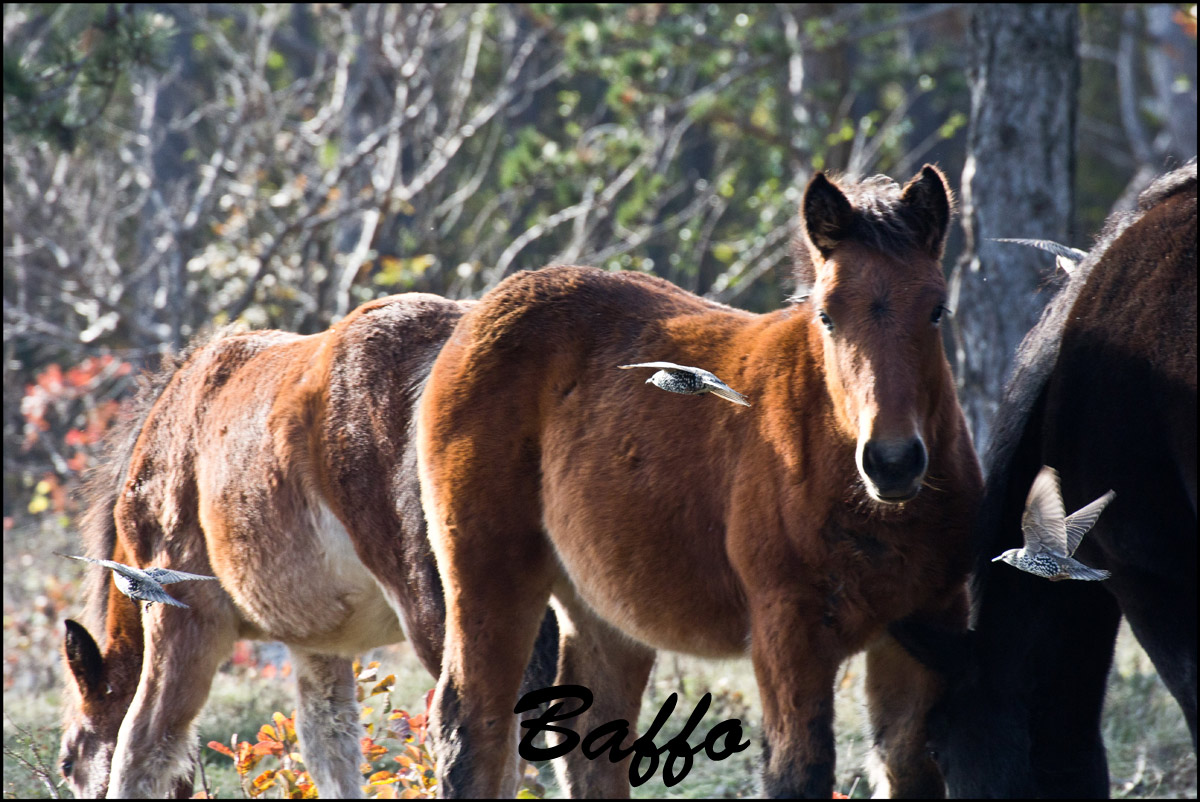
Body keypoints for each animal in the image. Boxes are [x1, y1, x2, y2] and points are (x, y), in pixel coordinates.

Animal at [420, 164, 984, 797]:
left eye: (937, 310)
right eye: (827, 316)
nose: (892, 461)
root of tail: (478, 312)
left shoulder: (925, 620)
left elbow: (907, 764)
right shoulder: (788, 630)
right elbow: (799, 770)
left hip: (603, 602)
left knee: (590, 738)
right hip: (488, 576)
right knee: (472, 726)